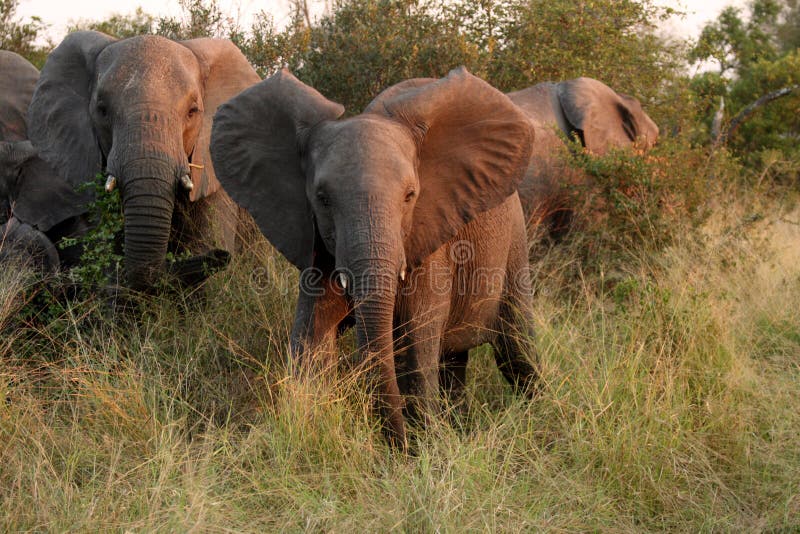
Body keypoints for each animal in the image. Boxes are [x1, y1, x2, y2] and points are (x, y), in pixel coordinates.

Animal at [211, 69, 536, 450]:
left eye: (410, 195)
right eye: (322, 198)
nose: (399, 446)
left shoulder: (430, 240)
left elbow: (415, 345)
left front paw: (423, 448)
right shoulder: (318, 245)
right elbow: (311, 336)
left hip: (515, 242)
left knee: (517, 348)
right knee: (454, 359)